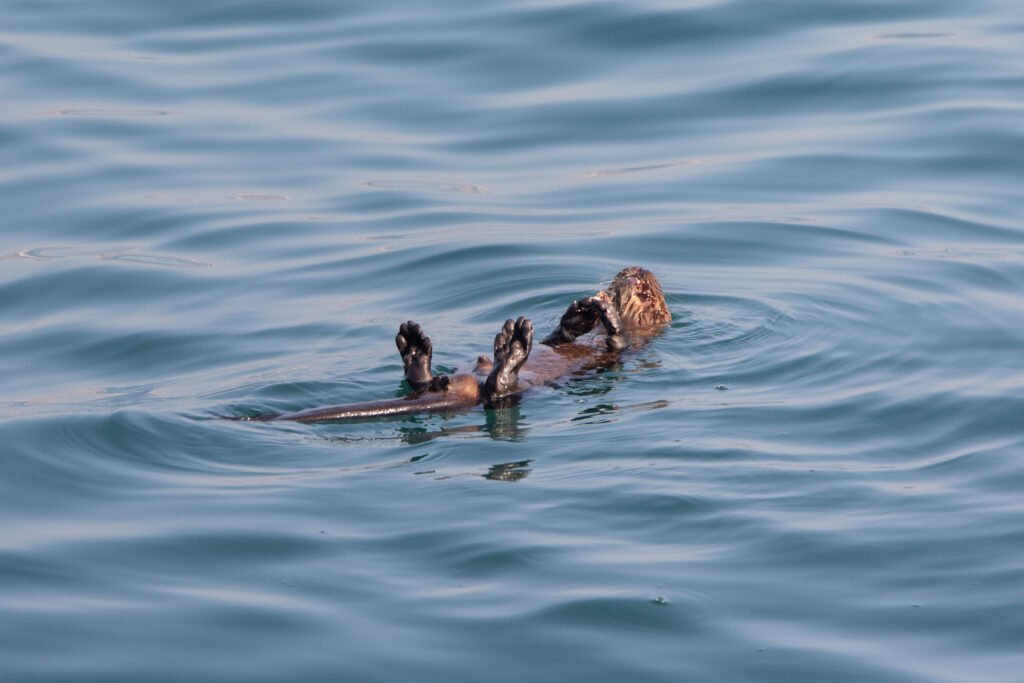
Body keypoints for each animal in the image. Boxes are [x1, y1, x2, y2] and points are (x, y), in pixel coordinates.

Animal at [251, 267, 670, 423]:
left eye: (642, 289)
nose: (632, 271)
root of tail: (454, 390)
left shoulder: (624, 350)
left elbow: (615, 345)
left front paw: (606, 312)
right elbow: (560, 338)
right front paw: (579, 314)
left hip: (511, 393)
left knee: (499, 391)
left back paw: (512, 347)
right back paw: (417, 348)